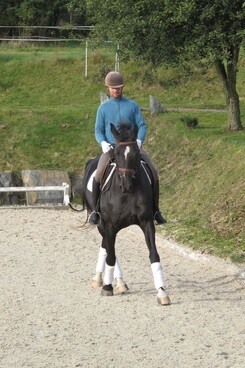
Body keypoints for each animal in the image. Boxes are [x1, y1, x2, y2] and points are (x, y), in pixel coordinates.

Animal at [81, 123, 169, 304]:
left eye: (136, 153)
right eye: (116, 154)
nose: (126, 184)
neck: (127, 193)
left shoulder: (147, 222)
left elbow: (154, 255)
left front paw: (162, 292)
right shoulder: (109, 225)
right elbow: (111, 255)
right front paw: (107, 287)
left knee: (106, 245)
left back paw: (110, 280)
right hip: (100, 222)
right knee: (108, 248)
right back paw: (109, 280)